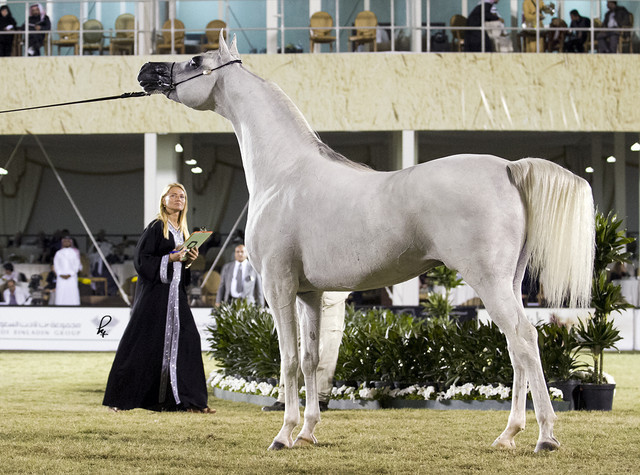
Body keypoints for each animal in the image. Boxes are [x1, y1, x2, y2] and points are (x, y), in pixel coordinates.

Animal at [138, 33, 595, 453]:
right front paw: (307, 431)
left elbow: (288, 361)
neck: (285, 173)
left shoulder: (278, 286)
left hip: (489, 281)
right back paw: (508, 434)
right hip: (510, 283)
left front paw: (284, 434)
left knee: (524, 340)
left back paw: (545, 436)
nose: (147, 71)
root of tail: (509, 168)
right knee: (515, 346)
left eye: (195, 60)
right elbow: (312, 359)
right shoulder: (309, 293)